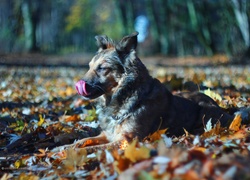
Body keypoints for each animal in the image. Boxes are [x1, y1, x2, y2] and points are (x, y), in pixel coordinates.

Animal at [74, 31, 234, 150]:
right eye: (89, 66)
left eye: (102, 68)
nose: (78, 85)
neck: (127, 95)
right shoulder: (107, 134)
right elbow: (84, 141)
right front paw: (71, 146)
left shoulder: (128, 139)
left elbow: (94, 148)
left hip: (205, 111)